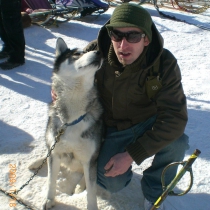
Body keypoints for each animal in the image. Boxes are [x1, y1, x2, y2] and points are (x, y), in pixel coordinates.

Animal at [43, 37, 104, 210]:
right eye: (77, 54)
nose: (100, 52)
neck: (71, 120)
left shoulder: (90, 159)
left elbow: (91, 192)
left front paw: (92, 206)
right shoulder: (55, 153)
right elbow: (50, 180)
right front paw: (49, 200)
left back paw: (79, 186)